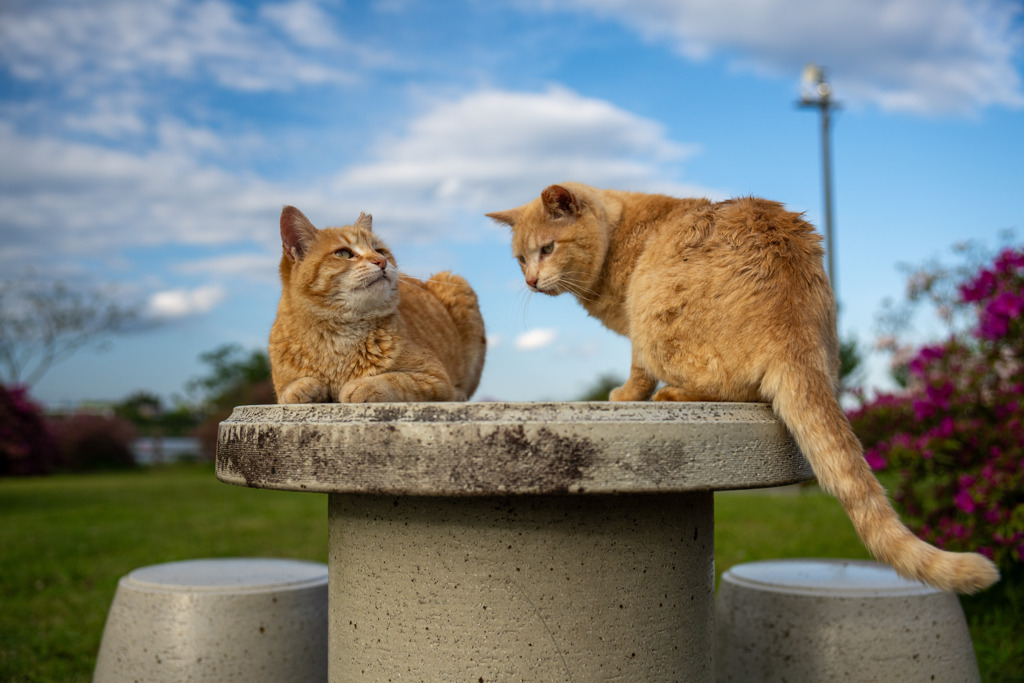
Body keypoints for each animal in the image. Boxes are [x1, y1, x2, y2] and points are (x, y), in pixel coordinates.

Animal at [272, 205, 487, 403]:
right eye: (343, 253)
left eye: (380, 250)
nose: (381, 261)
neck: (338, 339)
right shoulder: (282, 387)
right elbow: (288, 392)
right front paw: (303, 388)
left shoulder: (435, 378)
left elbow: (396, 380)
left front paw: (362, 386)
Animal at [487, 181, 999, 593]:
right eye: (519, 259)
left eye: (547, 249)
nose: (530, 280)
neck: (620, 234)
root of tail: (793, 323)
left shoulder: (636, 333)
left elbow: (636, 374)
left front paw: (625, 395)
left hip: (653, 309)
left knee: (728, 387)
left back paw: (672, 394)